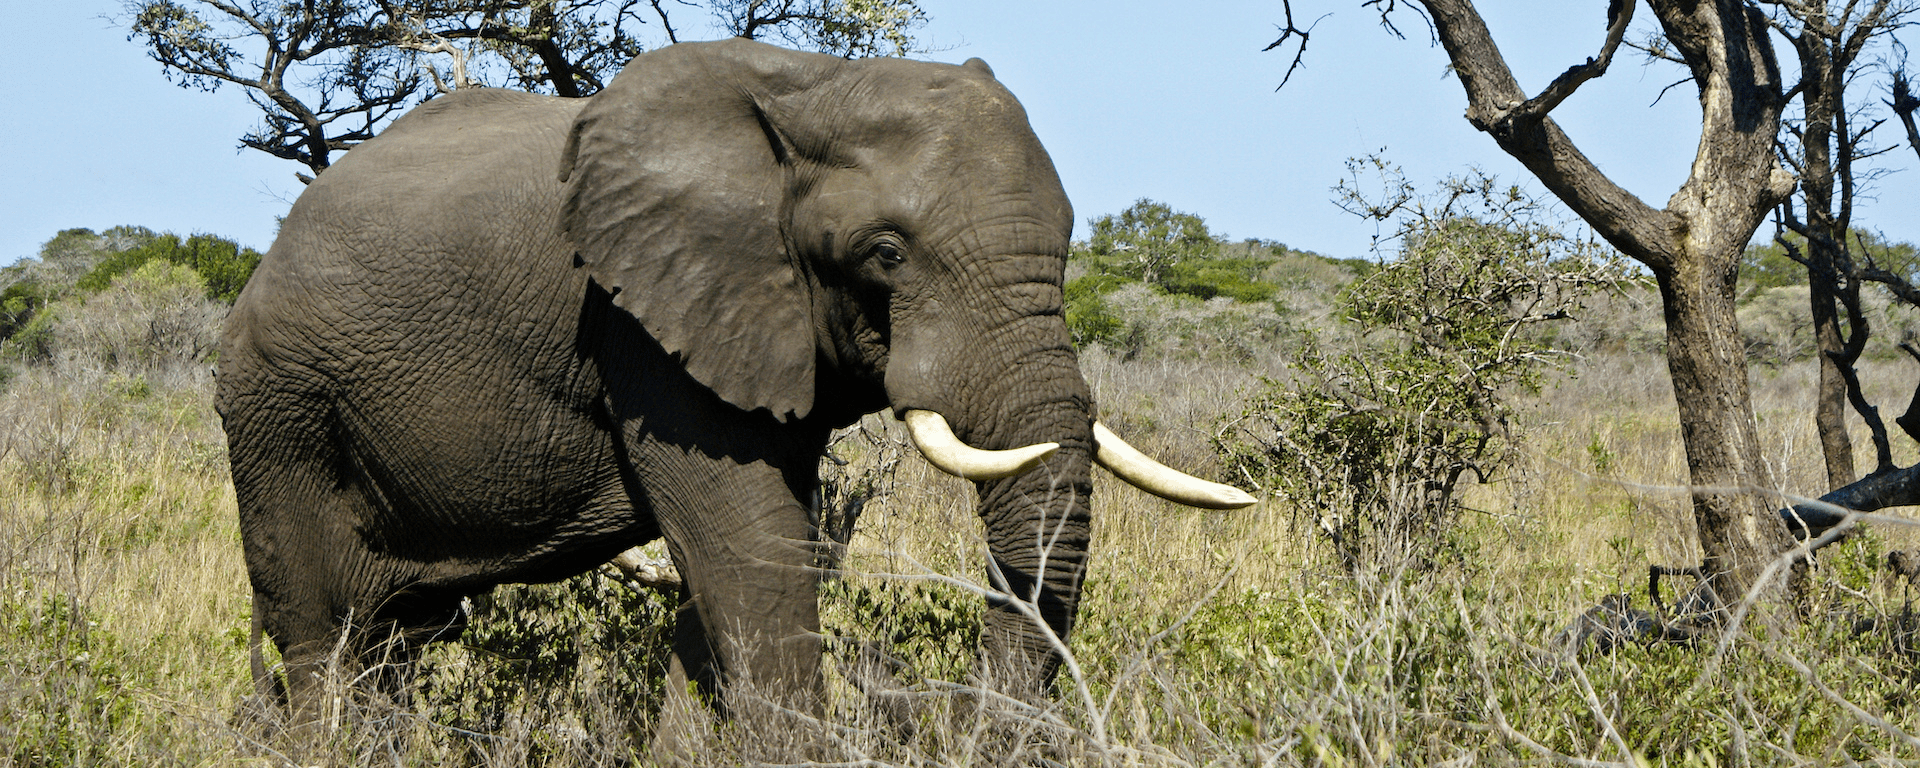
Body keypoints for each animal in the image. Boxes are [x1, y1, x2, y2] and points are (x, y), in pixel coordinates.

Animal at [216, 37, 1253, 729]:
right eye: (885, 253)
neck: (807, 84)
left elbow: (733, 561)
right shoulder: (641, 320)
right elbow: (750, 546)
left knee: (396, 640)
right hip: (278, 410)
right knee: (321, 637)